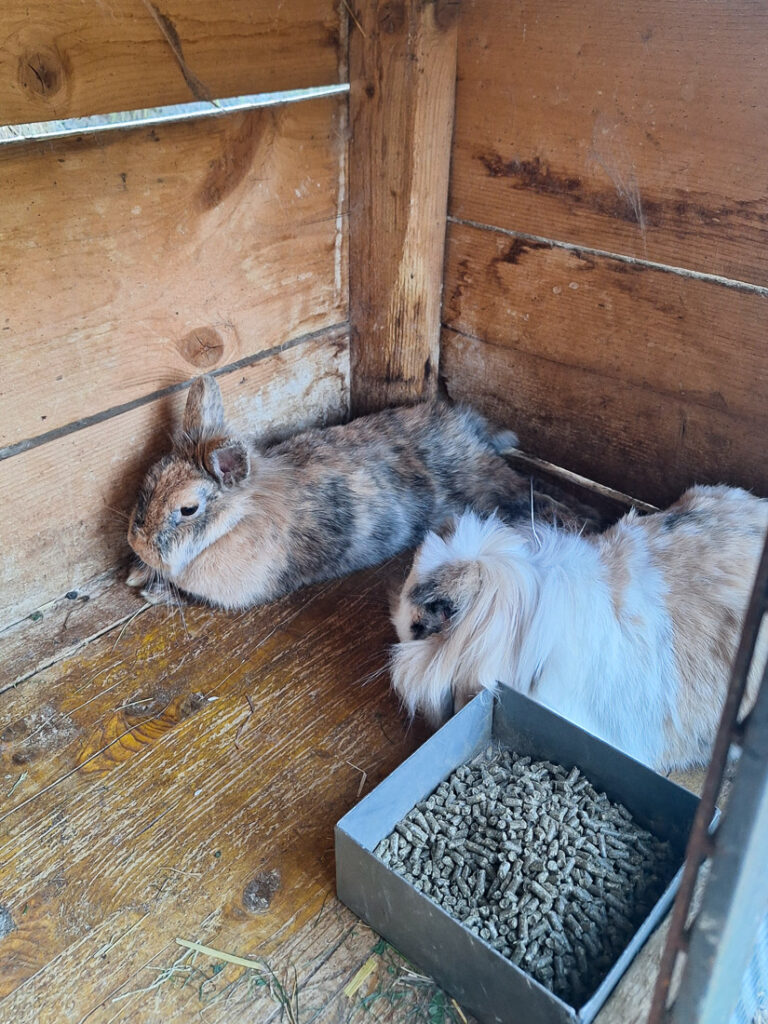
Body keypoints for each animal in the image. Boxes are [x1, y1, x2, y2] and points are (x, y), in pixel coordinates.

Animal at [126, 373, 576, 611]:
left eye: (188, 508)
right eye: (149, 481)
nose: (137, 543)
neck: (233, 522)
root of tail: (465, 428)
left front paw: (150, 590)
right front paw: (137, 576)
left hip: (486, 483)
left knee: (522, 490)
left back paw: (566, 518)